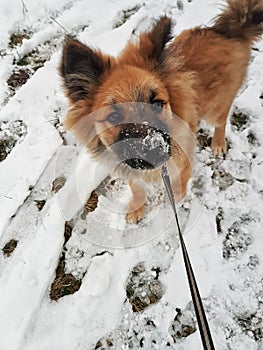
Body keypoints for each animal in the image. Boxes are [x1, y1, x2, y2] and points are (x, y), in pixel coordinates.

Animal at [60, 0, 263, 223]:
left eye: (157, 103)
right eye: (113, 116)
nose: (153, 149)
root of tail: (228, 31)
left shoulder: (183, 164)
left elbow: (179, 186)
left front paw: (175, 201)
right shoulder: (131, 168)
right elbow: (136, 187)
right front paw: (136, 208)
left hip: (216, 109)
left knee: (221, 122)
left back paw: (218, 144)